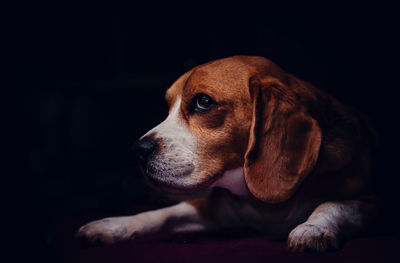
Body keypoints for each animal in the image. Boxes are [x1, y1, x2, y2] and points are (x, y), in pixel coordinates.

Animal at [77, 56, 378, 253]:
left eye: (203, 102)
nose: (137, 150)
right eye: (168, 106)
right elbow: (163, 214)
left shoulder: (372, 202)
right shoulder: (213, 209)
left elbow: (333, 204)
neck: (266, 208)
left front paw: (312, 228)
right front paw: (112, 225)